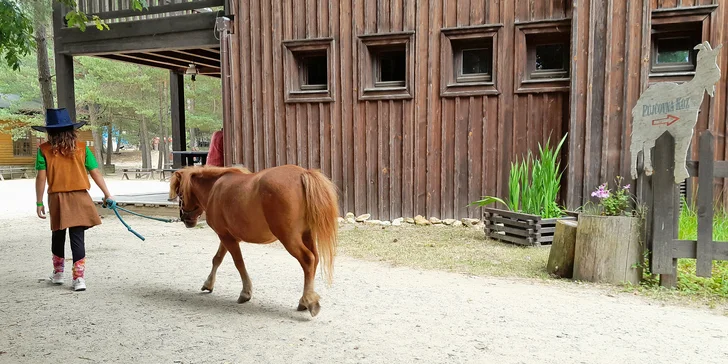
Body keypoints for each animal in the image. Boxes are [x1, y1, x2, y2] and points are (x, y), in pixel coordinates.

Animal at [169, 165, 340, 316]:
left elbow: (238, 263)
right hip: (307, 235)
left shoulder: (225, 236)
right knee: (315, 259)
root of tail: (303, 174)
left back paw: (308, 300)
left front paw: (245, 292)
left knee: (308, 259)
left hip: (289, 238)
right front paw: (208, 284)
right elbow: (217, 259)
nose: (185, 219)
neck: (214, 188)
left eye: (180, 193)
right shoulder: (226, 236)